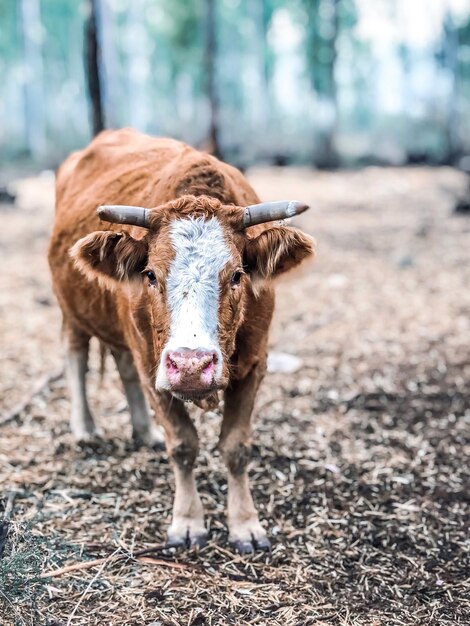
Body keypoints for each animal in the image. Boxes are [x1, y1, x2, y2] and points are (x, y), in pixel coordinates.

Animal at [47, 128, 314, 552]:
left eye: (237, 274)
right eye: (151, 275)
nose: (191, 365)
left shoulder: (255, 363)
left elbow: (236, 447)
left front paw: (245, 524)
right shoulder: (153, 366)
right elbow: (184, 444)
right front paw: (187, 520)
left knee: (122, 364)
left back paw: (145, 431)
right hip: (71, 307)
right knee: (76, 355)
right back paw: (85, 428)